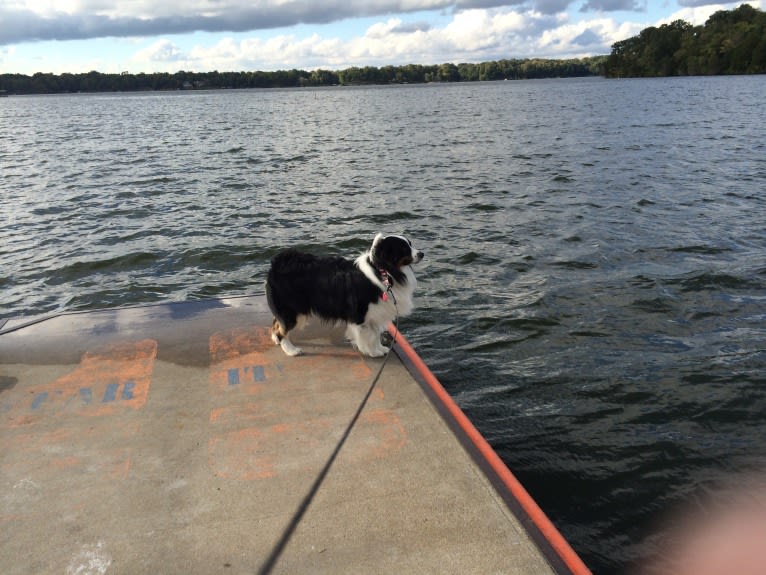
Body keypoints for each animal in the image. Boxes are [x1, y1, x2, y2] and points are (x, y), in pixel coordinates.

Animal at [266, 233, 424, 358]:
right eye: (404, 248)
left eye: (410, 244)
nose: (422, 253)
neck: (382, 271)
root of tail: (277, 264)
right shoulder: (361, 315)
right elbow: (368, 335)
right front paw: (372, 352)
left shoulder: (376, 312)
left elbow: (375, 334)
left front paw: (379, 348)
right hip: (293, 309)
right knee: (282, 330)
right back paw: (291, 350)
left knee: (277, 323)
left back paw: (275, 339)